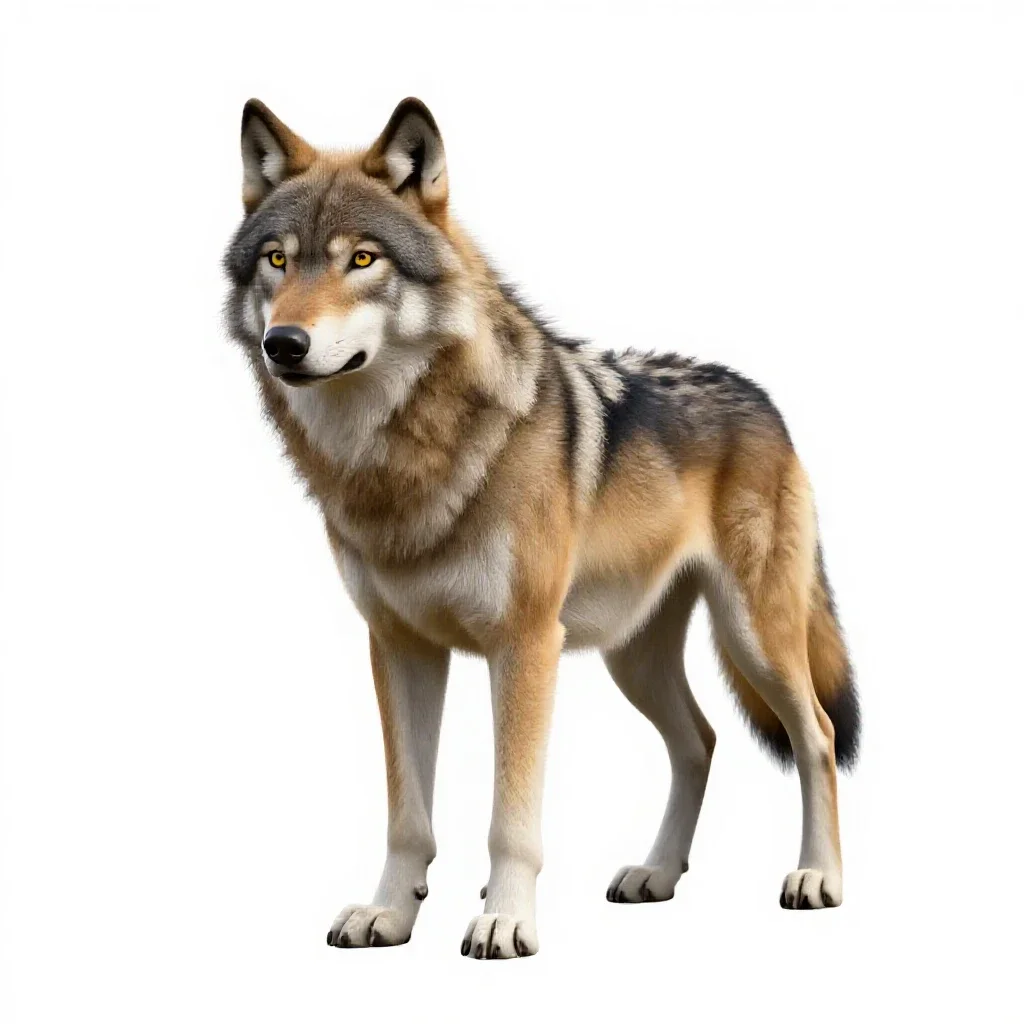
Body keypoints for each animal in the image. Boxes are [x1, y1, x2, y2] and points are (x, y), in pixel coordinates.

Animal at [223, 97, 860, 959]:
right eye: (277, 261)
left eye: (362, 259)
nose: (284, 343)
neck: (404, 461)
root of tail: (761, 396)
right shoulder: (399, 645)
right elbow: (407, 817)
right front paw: (389, 913)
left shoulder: (523, 644)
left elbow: (510, 817)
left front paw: (505, 919)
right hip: (633, 657)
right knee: (699, 741)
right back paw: (656, 874)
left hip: (753, 635)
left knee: (816, 735)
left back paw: (817, 878)